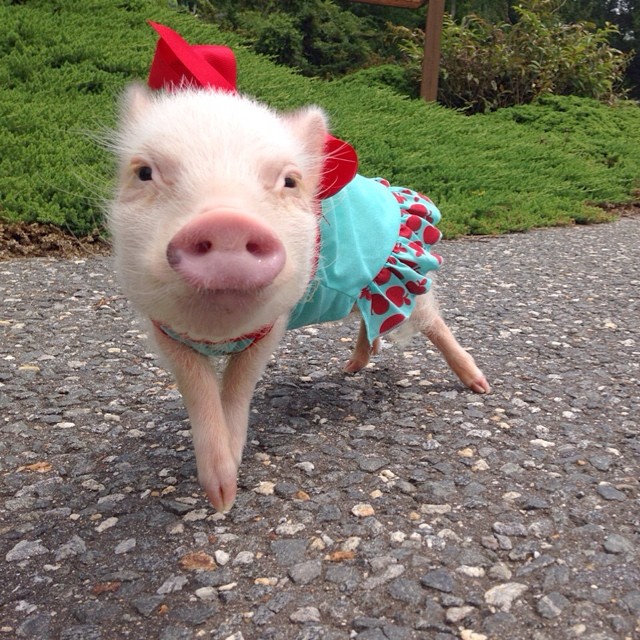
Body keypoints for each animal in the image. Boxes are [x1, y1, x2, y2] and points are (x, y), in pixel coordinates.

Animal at [108, 85, 490, 512]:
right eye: (144, 172)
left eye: (289, 181)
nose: (226, 222)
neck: (218, 331)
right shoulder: (164, 330)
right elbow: (199, 389)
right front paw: (220, 498)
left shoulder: (270, 326)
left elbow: (238, 384)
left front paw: (227, 493)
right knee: (367, 319)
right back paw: (351, 368)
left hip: (399, 273)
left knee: (430, 320)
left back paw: (480, 386)